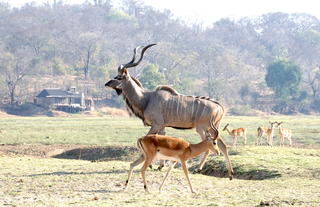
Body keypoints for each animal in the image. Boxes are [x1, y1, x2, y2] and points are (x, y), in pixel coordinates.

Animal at [105, 43, 232, 176]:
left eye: (120, 77)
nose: (107, 83)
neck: (147, 98)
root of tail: (220, 107)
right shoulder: (162, 126)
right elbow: (161, 139)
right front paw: (160, 166)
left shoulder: (156, 124)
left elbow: (148, 137)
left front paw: (151, 164)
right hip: (213, 128)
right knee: (223, 145)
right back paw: (230, 173)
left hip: (202, 128)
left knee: (208, 146)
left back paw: (198, 169)